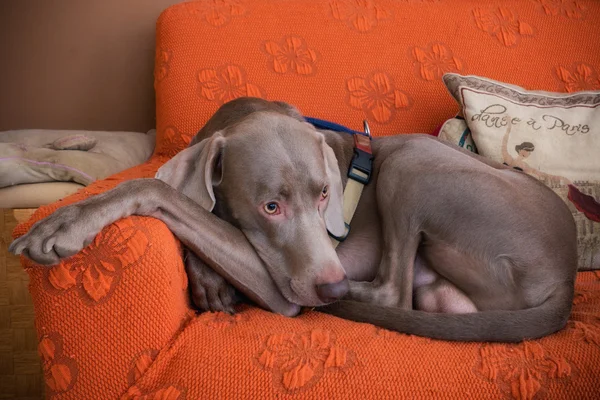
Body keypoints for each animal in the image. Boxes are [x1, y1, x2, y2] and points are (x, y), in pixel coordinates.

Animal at [11, 98, 580, 342]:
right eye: (271, 207)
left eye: (326, 193)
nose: (330, 287)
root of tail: (567, 276)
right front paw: (208, 280)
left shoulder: (281, 284)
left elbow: (155, 187)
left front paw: (62, 225)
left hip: (416, 162)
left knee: (392, 292)